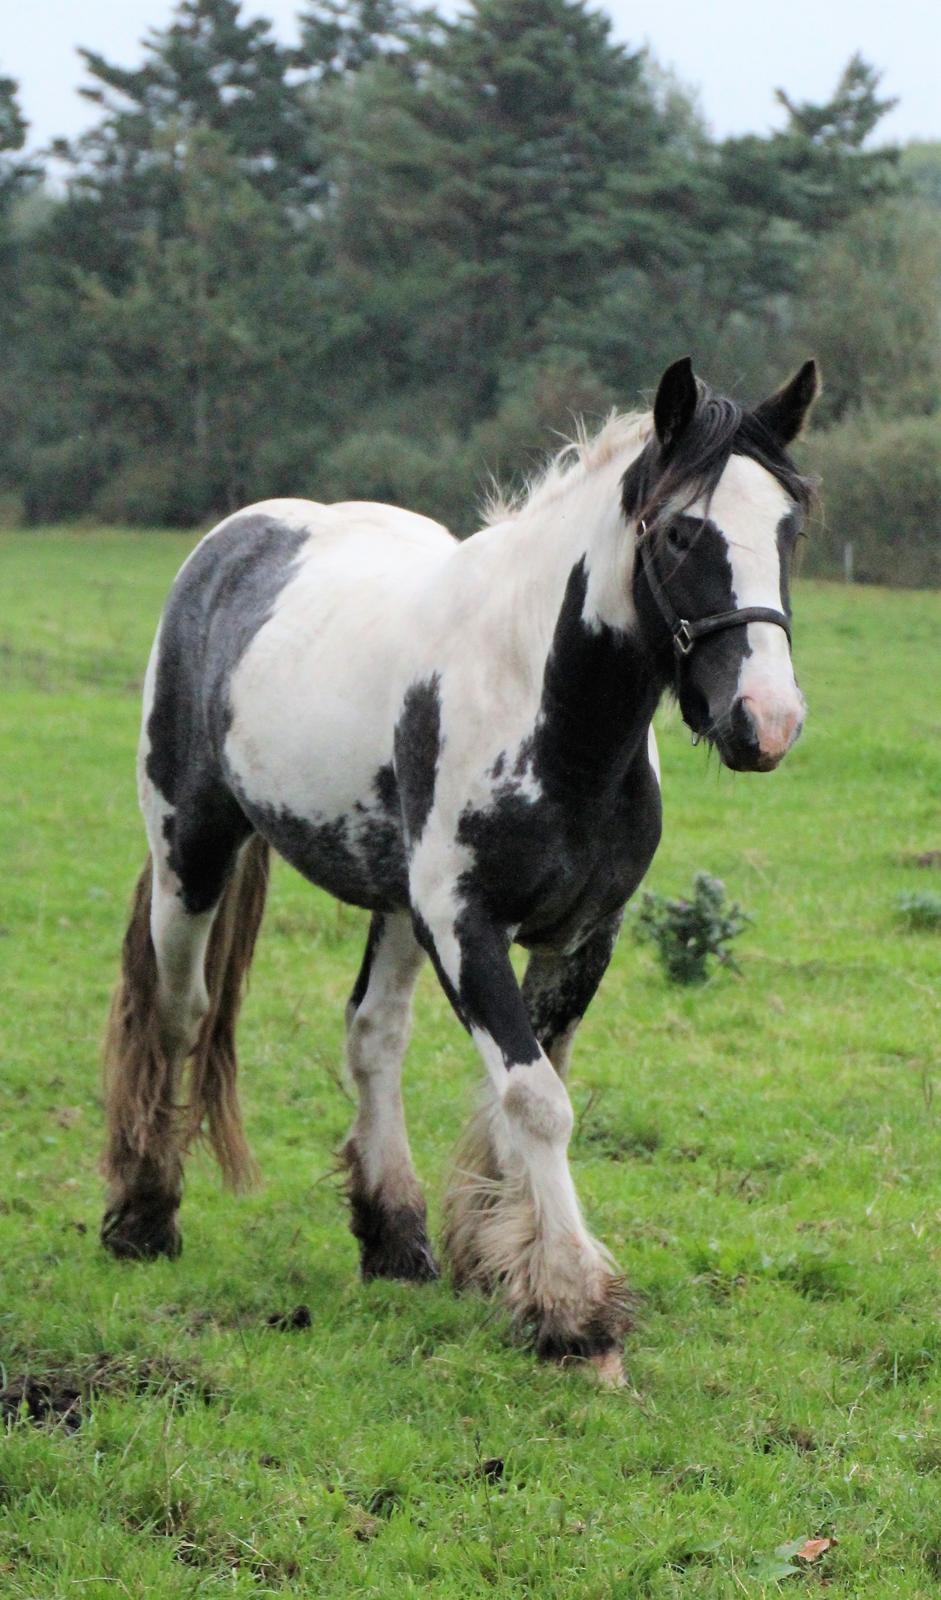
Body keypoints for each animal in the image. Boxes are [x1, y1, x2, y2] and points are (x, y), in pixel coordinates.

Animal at [103, 356, 819, 1382]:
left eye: (790, 526)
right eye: (682, 531)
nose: (766, 720)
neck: (550, 714)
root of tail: (239, 537)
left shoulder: (579, 938)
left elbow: (523, 1093)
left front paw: (501, 1264)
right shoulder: (464, 925)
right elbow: (535, 1100)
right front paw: (578, 1316)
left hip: (392, 908)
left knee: (372, 1034)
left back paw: (394, 1238)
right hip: (189, 852)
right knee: (178, 1010)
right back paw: (144, 1217)